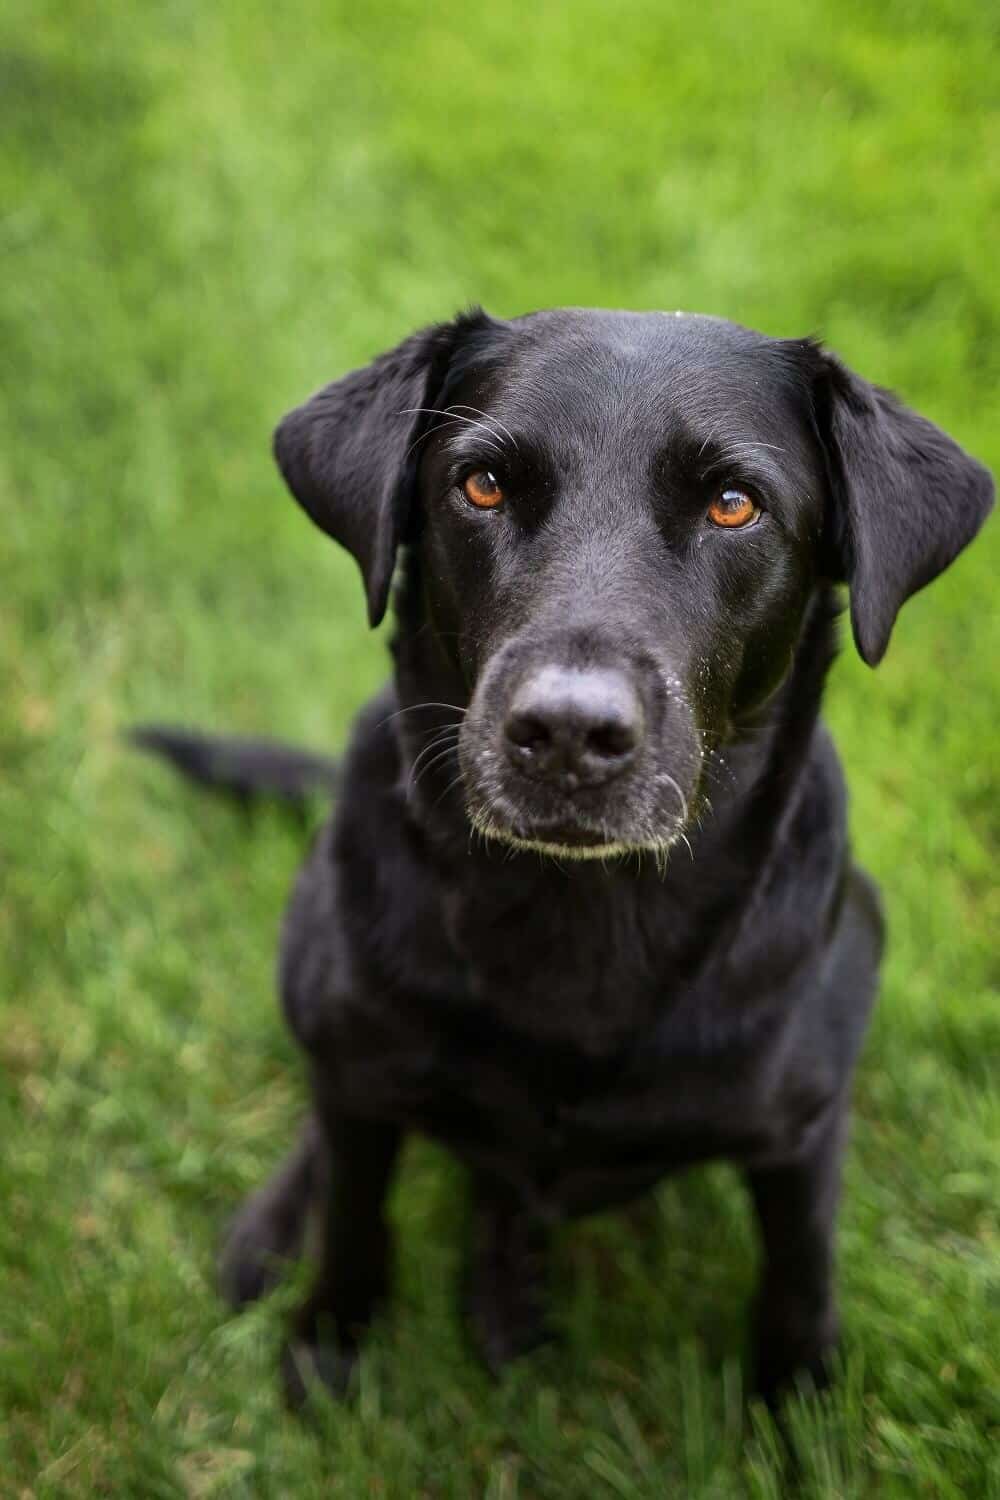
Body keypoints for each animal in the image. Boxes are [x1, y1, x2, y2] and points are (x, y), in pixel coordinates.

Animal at [138, 307, 995, 1404]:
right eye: (482, 485)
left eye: (733, 505)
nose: (568, 735)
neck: (578, 920)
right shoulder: (361, 1066)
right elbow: (357, 1213)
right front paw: (330, 1337)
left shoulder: (800, 1129)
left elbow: (799, 1270)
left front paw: (796, 1406)